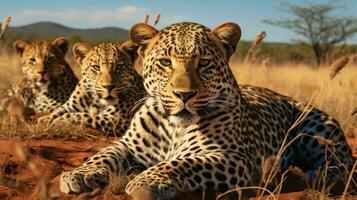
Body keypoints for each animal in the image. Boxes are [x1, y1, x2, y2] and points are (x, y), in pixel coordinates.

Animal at [58, 22, 354, 200]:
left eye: (204, 63)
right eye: (165, 62)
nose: (184, 94)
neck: (173, 128)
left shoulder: (234, 157)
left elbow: (183, 162)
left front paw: (146, 181)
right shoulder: (128, 145)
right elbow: (104, 154)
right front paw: (78, 174)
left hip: (314, 124)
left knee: (344, 162)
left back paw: (318, 176)